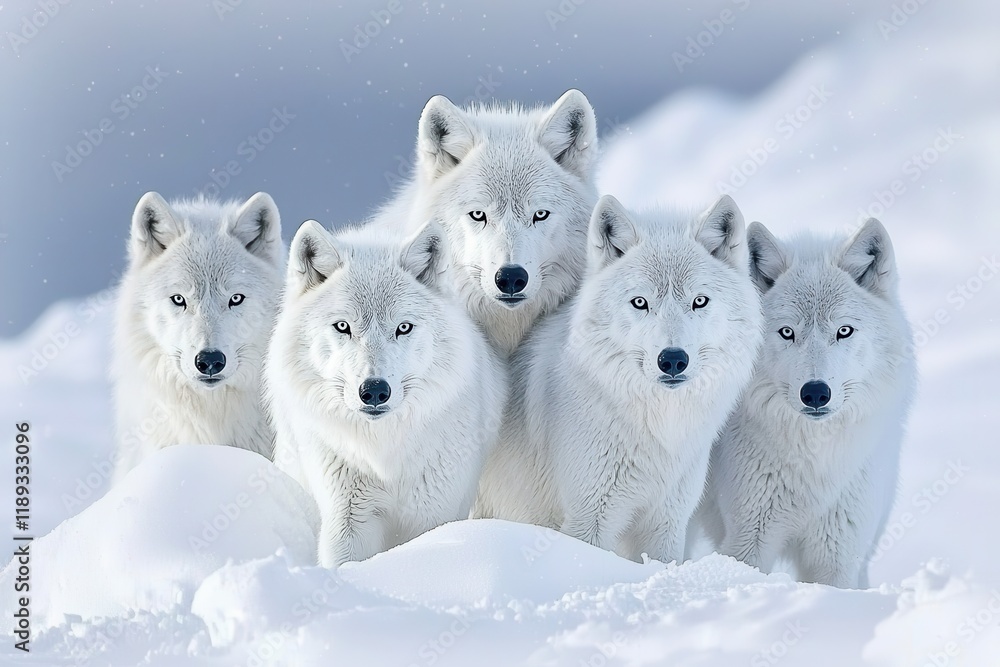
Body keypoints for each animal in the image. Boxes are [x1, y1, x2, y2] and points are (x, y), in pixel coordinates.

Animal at [266, 219, 507, 567]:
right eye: (343, 327)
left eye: (403, 328)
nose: (375, 390)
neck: (383, 451)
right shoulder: (348, 515)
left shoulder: (434, 514)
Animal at [474, 195, 763, 564]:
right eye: (640, 302)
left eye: (699, 301)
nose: (673, 359)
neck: (659, 430)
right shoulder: (588, 520)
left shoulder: (666, 524)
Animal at [697, 219, 917, 588]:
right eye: (787, 332)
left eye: (844, 331)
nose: (815, 393)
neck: (814, 462)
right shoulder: (748, 541)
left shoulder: (838, 555)